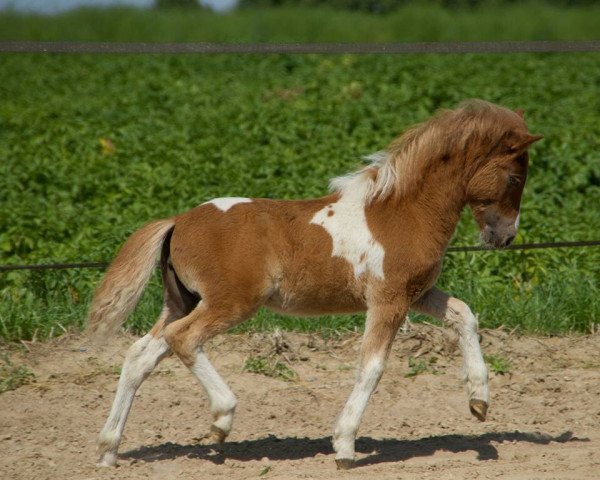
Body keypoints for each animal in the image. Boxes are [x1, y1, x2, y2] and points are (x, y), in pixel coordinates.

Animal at [88, 99, 544, 470]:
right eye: (514, 178)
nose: (505, 237)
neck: (403, 213)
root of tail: (178, 221)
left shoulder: (416, 294)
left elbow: (464, 315)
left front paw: (479, 402)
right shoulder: (389, 299)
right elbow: (372, 366)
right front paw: (344, 446)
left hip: (181, 300)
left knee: (141, 354)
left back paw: (109, 450)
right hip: (229, 302)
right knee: (184, 339)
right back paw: (221, 419)